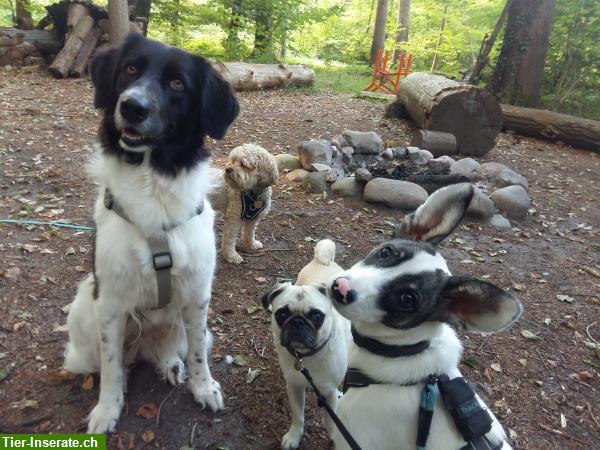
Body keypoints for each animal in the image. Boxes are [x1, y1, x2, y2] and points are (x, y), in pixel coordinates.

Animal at [62, 33, 237, 434]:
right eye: (130, 69)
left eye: (177, 84)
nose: (132, 107)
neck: (152, 179)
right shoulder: (110, 302)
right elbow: (111, 366)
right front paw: (107, 410)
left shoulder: (198, 296)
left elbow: (199, 355)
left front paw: (203, 388)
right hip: (84, 310)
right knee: (111, 360)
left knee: (174, 349)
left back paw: (171, 364)